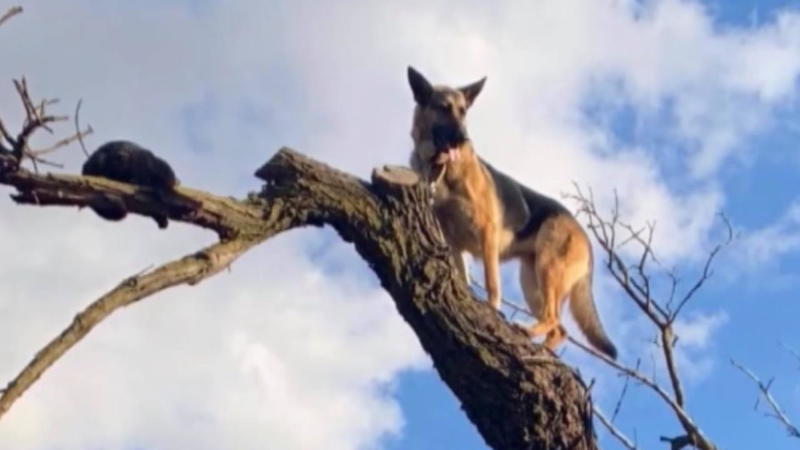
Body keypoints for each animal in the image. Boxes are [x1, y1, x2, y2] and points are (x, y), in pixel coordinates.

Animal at [410, 67, 616, 358]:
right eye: (443, 108)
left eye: (463, 111)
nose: (464, 138)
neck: (442, 170)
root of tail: (583, 235)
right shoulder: (452, 242)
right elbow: (462, 278)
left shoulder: (487, 233)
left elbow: (492, 282)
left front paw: (492, 309)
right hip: (531, 280)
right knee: (560, 329)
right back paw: (540, 348)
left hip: (547, 270)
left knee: (554, 318)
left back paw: (528, 332)